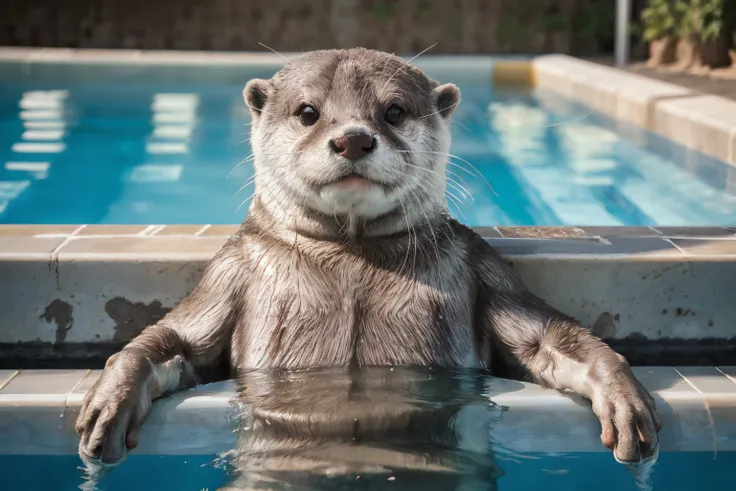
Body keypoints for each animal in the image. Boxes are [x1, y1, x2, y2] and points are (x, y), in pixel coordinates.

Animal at [76, 49, 660, 472]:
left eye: (394, 111)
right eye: (308, 112)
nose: (354, 138)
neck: (352, 260)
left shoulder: (481, 264)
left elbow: (547, 340)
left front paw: (622, 397)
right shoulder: (229, 270)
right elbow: (173, 339)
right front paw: (109, 401)